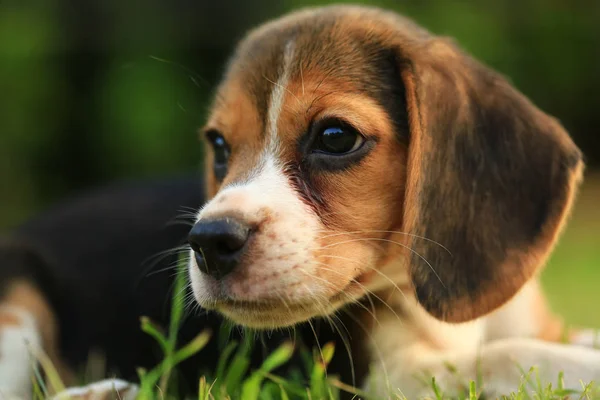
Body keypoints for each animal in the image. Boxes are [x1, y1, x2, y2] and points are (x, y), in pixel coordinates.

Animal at [1, 3, 600, 400]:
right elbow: (506, 357)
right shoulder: (393, 378)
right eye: (220, 146)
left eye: (335, 137)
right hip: (16, 301)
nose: (208, 242)